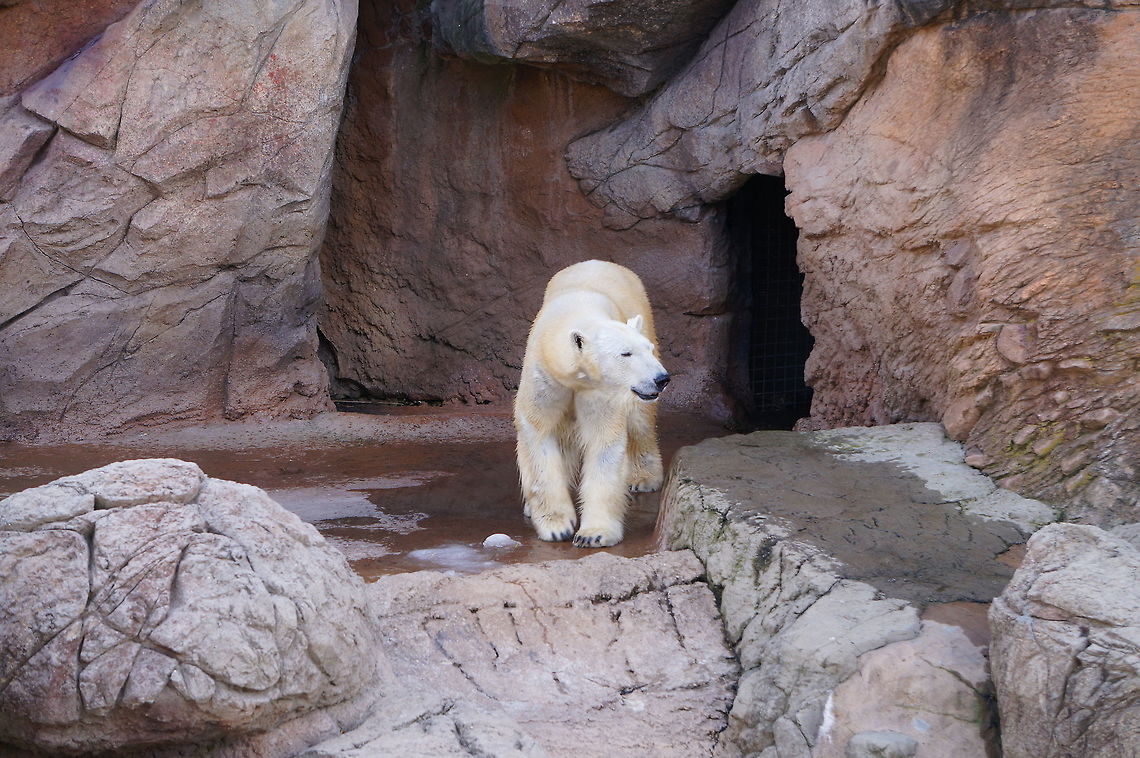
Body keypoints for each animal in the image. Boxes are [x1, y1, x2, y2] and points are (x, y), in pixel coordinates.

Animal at [514, 260, 670, 548]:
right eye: (625, 353)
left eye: (648, 350)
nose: (661, 379)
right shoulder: (545, 377)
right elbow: (539, 436)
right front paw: (557, 527)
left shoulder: (601, 391)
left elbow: (603, 443)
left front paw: (594, 533)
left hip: (642, 312)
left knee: (640, 420)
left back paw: (643, 478)